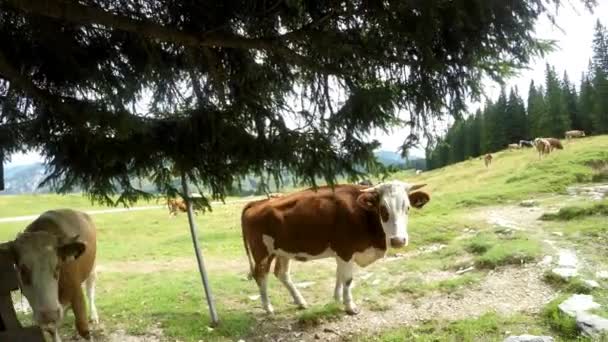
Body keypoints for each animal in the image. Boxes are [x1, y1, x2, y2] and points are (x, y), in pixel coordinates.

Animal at [0, 210, 98, 340]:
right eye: (22, 270)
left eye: (57, 266)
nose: (49, 314)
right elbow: (52, 330)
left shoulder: (76, 292)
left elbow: (83, 328)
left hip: (92, 268)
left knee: (90, 292)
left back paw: (94, 316)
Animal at [240, 182, 430, 316]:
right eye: (383, 209)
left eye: (407, 208)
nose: (398, 240)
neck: (363, 215)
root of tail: (257, 202)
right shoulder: (346, 250)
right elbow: (347, 279)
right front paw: (350, 306)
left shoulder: (342, 252)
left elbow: (339, 274)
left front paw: (337, 299)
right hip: (262, 252)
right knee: (261, 275)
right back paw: (268, 308)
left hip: (282, 251)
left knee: (281, 273)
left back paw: (300, 302)